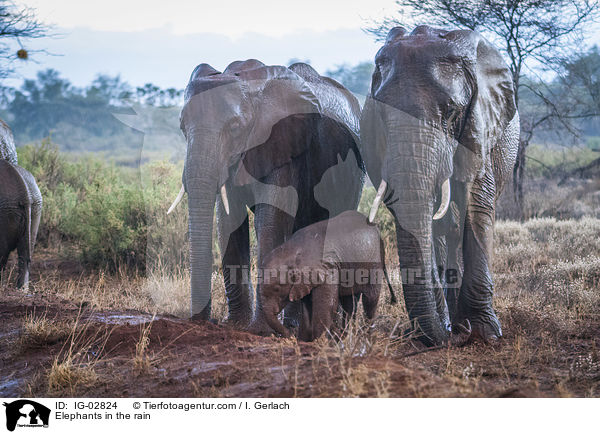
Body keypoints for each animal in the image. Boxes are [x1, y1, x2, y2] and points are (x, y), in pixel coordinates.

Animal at [169, 60, 366, 332]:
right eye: (181, 127)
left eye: (235, 127)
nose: (202, 321)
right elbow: (228, 222)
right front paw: (236, 325)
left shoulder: (281, 146)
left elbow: (271, 221)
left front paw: (260, 330)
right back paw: (295, 324)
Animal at [258, 211, 396, 342]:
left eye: (277, 288)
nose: (291, 336)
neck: (293, 250)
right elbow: (308, 305)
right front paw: (305, 340)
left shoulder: (328, 268)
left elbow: (325, 304)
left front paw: (320, 342)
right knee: (349, 302)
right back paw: (346, 337)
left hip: (374, 262)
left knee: (370, 299)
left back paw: (366, 337)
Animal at [360, 26, 520, 346]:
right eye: (380, 115)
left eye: (451, 112)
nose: (457, 334)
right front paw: (445, 329)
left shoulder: (479, 125)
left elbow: (477, 203)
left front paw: (485, 333)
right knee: (442, 230)